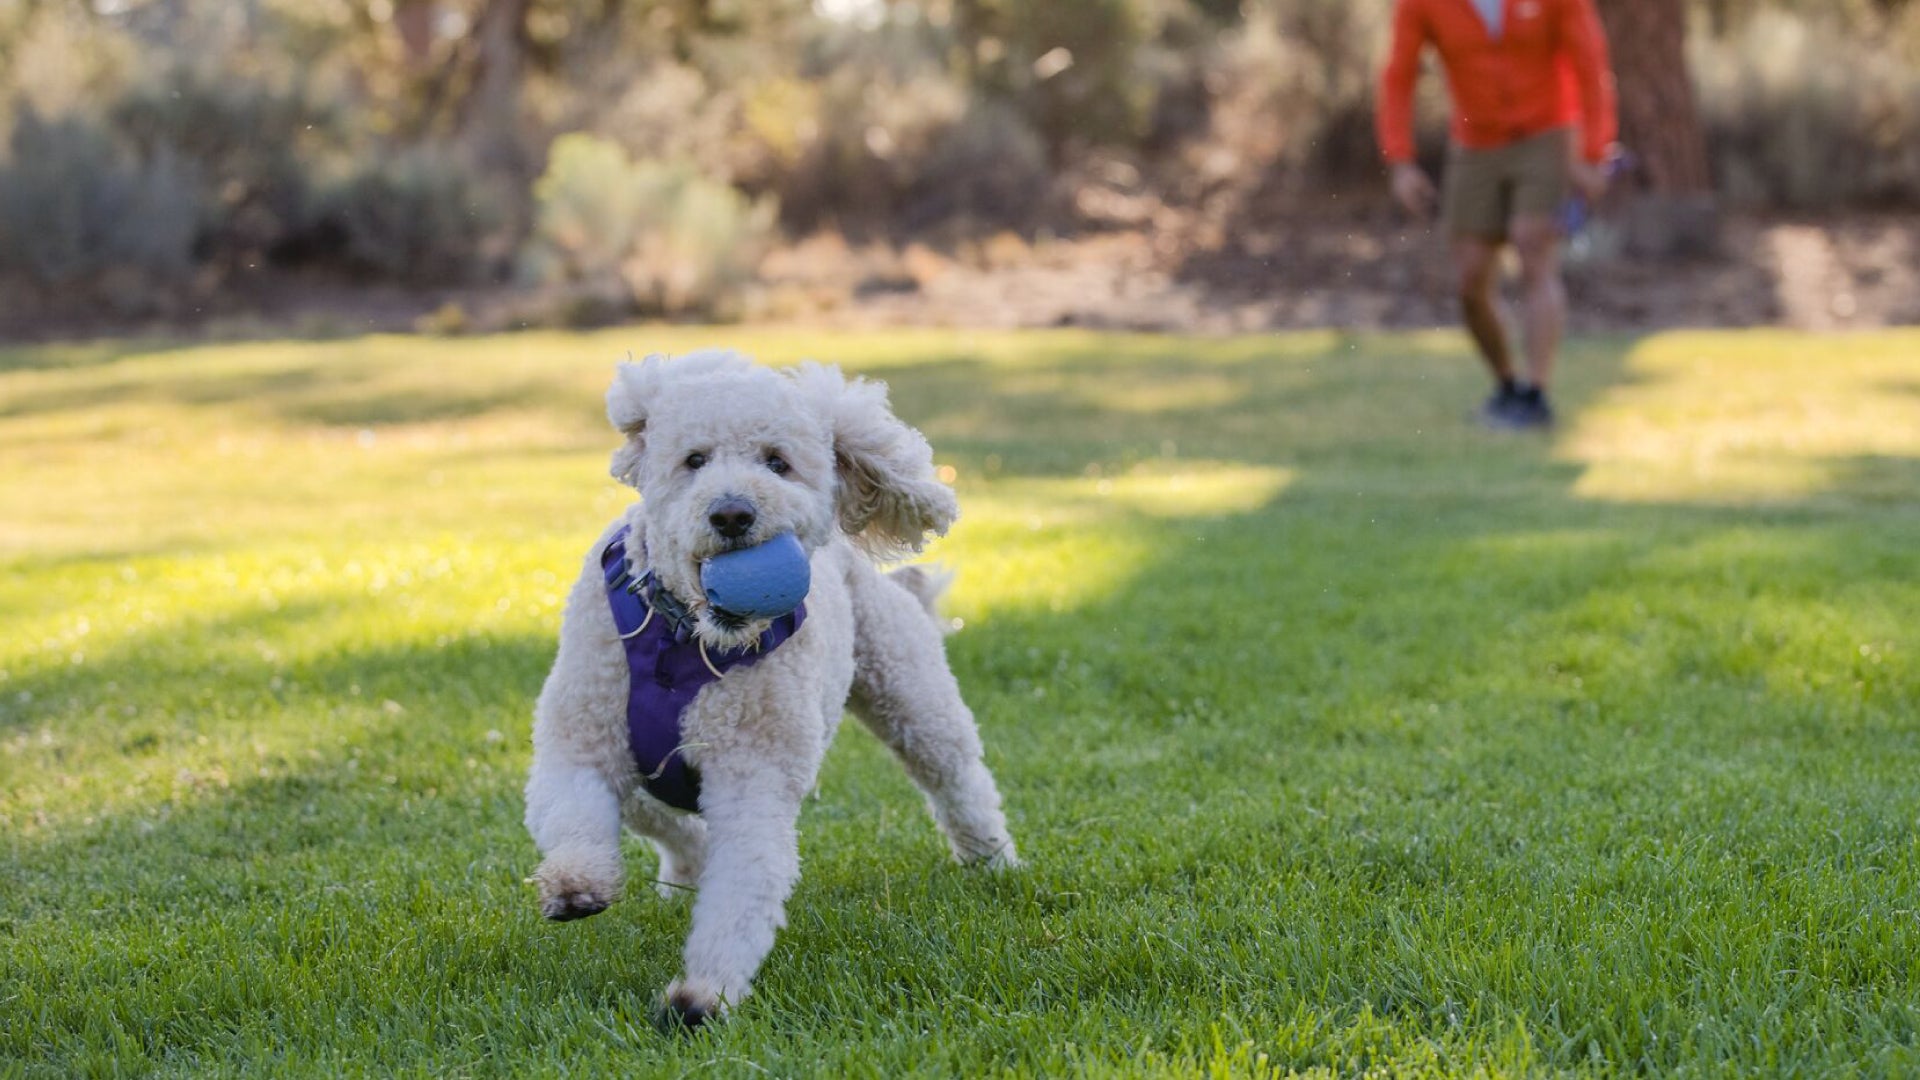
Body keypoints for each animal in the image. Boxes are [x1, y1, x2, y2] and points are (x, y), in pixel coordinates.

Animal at [514, 345, 1021, 1022]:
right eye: (694, 459)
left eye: (777, 462)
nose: (732, 512)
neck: (686, 643)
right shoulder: (580, 741)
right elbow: (574, 810)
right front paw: (578, 884)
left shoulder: (752, 777)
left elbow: (744, 883)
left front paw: (704, 995)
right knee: (661, 819)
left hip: (912, 697)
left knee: (958, 778)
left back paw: (995, 861)